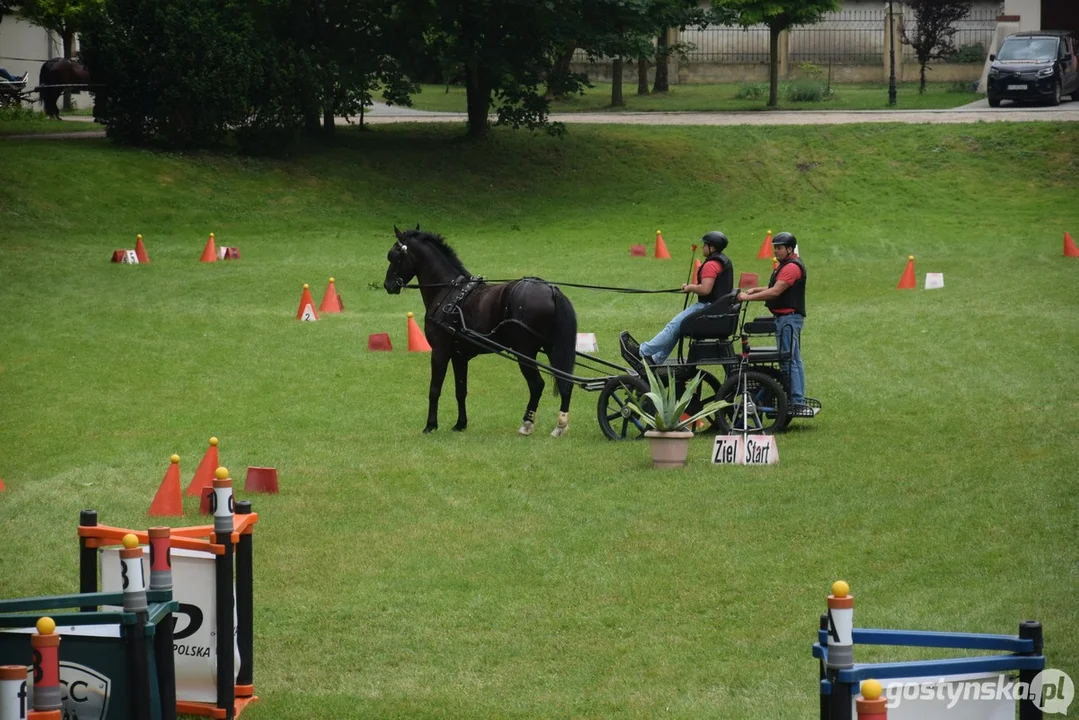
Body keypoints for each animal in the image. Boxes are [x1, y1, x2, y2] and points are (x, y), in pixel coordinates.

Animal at [384, 227, 578, 436]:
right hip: (552, 348)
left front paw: (430, 425)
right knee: (566, 382)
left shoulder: (440, 352)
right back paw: (560, 425)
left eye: (394, 256)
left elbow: (434, 389)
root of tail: (551, 290)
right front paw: (460, 424)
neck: (448, 292)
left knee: (536, 385)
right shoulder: (459, 356)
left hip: (524, 352)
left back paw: (527, 424)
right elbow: (461, 391)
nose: (388, 285)